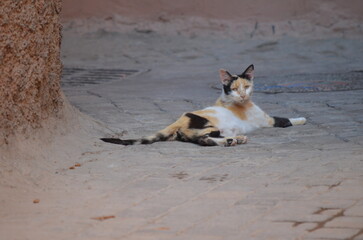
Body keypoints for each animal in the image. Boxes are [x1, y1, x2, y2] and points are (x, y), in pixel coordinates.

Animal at [101, 64, 308, 146]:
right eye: (235, 89)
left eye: (247, 87)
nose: (242, 95)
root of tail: (177, 120)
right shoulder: (268, 120)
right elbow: (286, 119)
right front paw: (303, 119)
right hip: (209, 125)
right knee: (203, 139)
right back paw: (232, 140)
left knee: (202, 140)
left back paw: (235, 140)